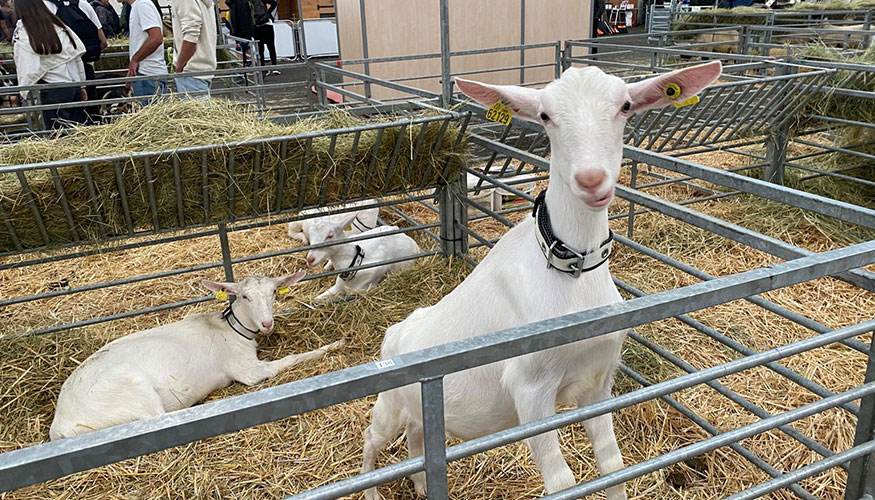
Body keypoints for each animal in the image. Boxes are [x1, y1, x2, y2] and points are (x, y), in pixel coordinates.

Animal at [49, 272, 344, 441]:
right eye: (244, 296)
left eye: (273, 292)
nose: (267, 324)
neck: (231, 327)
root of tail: (60, 426)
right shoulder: (248, 370)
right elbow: (289, 360)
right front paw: (333, 345)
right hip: (134, 395)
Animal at [359, 61, 722, 499]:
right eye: (546, 116)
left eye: (625, 106)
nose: (591, 179)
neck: (571, 271)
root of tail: (395, 330)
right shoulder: (529, 388)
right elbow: (561, 482)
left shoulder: (599, 379)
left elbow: (613, 465)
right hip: (389, 401)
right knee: (372, 437)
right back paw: (372, 489)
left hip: (419, 410)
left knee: (416, 438)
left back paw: (419, 483)